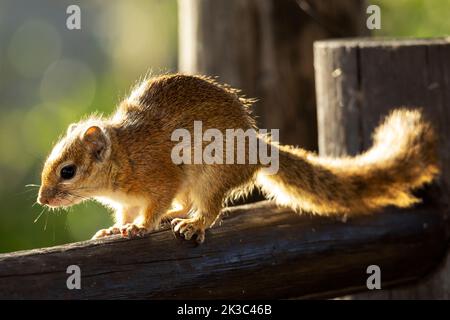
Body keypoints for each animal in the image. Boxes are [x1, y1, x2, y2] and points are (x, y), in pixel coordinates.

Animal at [37, 73, 440, 242]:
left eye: (68, 171)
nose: (42, 199)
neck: (124, 158)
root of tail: (256, 148)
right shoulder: (128, 200)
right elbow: (125, 213)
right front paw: (115, 228)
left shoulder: (159, 179)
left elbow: (150, 209)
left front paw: (139, 227)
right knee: (188, 203)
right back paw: (179, 216)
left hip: (212, 176)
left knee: (210, 207)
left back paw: (193, 224)